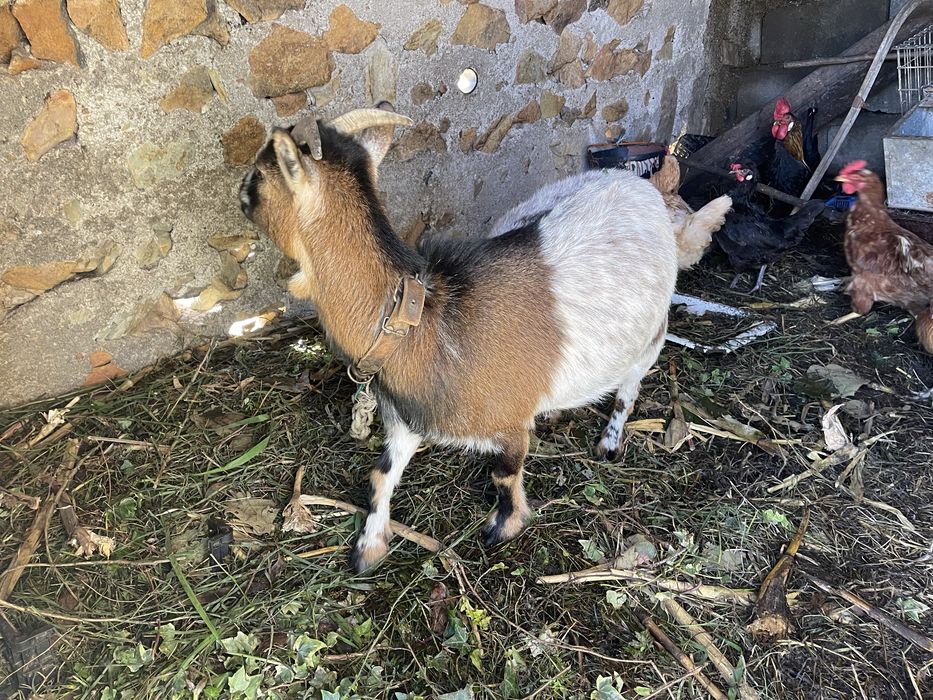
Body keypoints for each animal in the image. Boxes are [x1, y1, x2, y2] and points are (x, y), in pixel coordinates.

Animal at [239, 108, 678, 572]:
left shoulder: (508, 426)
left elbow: (504, 476)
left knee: (628, 390)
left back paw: (608, 443)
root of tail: (637, 185)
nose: (239, 194)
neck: (423, 327)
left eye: (260, 173)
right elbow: (381, 476)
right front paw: (369, 548)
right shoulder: (408, 420)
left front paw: (503, 528)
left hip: (652, 336)